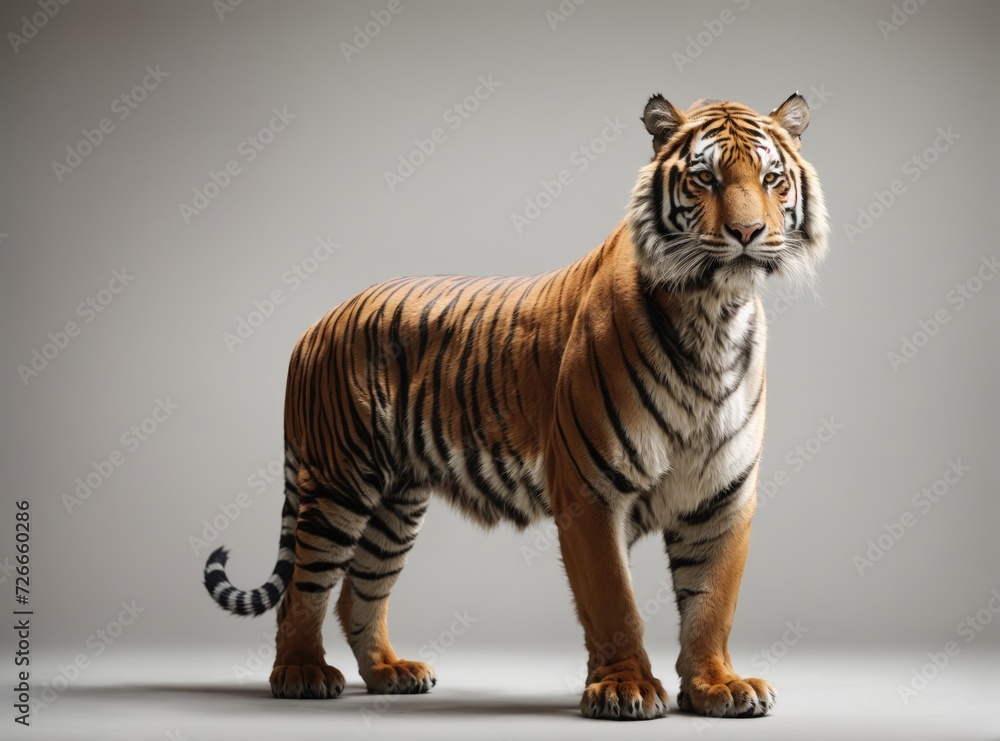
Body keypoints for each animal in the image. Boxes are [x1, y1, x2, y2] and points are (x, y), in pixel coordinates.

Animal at [202, 92, 829, 720]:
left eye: (772, 179)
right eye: (705, 179)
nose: (747, 231)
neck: (714, 313)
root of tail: (315, 325)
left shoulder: (722, 495)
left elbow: (712, 602)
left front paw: (716, 685)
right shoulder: (589, 490)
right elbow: (615, 602)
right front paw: (624, 687)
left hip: (396, 501)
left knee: (361, 589)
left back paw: (389, 672)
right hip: (339, 482)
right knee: (304, 589)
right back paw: (301, 673)